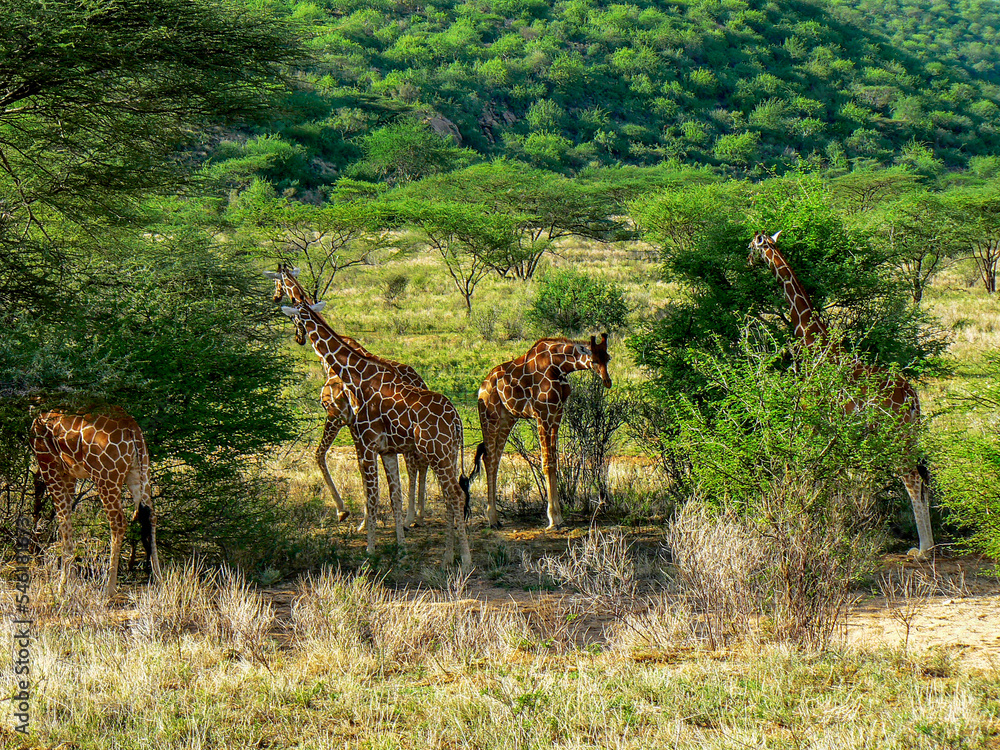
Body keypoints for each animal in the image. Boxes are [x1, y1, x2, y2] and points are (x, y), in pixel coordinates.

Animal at [30, 406, 161, 598]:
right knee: (151, 516)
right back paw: (159, 580)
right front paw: (71, 581)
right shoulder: (69, 474)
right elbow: (67, 521)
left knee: (118, 522)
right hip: (140, 472)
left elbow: (63, 522)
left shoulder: (49, 466)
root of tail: (132, 427)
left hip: (106, 477)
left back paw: (109, 588)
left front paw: (64, 586)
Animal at [266, 266, 431, 528]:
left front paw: (346, 512)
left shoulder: (337, 415)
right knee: (418, 462)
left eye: (277, 283)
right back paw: (418, 515)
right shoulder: (356, 426)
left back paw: (409, 517)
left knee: (414, 463)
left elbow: (321, 455)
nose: (298, 338)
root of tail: (419, 381)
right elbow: (362, 469)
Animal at [279, 297, 483, 566]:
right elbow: (394, 498)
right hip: (447, 455)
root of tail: (456, 419)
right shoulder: (386, 450)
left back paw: (466, 560)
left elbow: (373, 497)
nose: (298, 337)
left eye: (294, 317)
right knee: (450, 496)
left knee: (456, 495)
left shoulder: (367, 444)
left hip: (436, 453)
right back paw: (448, 556)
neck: (357, 377)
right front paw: (401, 549)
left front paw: (369, 550)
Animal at [477, 336, 612, 530]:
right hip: (490, 418)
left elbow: (554, 462)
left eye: (607, 358)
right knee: (489, 459)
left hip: (507, 419)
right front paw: (553, 518)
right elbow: (547, 463)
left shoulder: (556, 414)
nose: (607, 381)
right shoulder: (542, 413)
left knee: (493, 459)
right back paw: (492, 518)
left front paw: (559, 516)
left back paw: (495, 518)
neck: (559, 367)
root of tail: (481, 386)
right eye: (593, 360)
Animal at [748, 231, 934, 556]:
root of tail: (913, 397)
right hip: (909, 432)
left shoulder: (811, 413)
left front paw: (803, 518)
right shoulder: (830, 424)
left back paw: (922, 549)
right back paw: (930, 545)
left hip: (894, 431)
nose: (747, 260)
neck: (815, 342)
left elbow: (808, 466)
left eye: (750, 246)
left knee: (911, 478)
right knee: (922, 477)